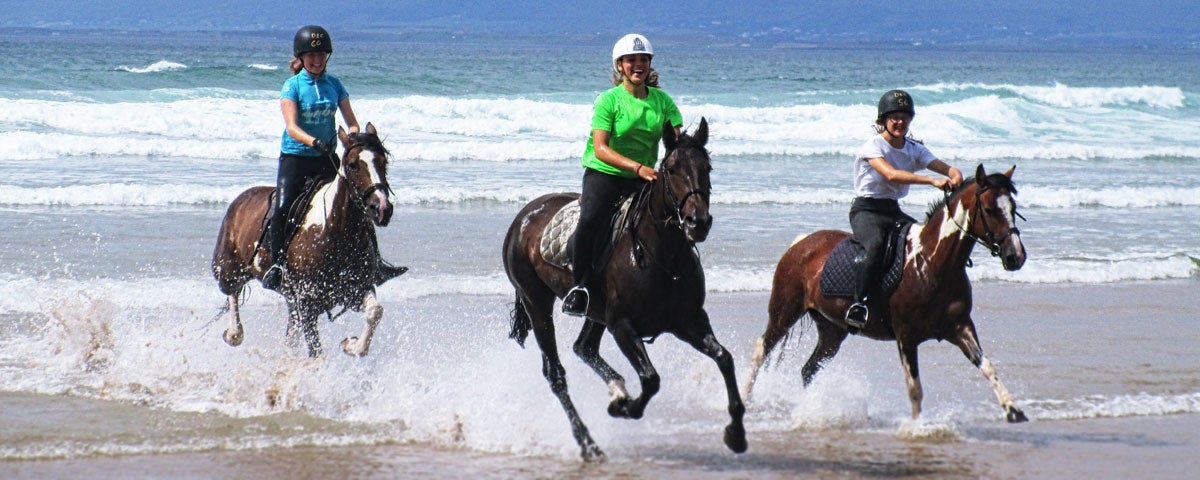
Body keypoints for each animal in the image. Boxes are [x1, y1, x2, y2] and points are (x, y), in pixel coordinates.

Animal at [208, 121, 391, 357]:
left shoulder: (354, 291)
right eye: (352, 165)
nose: (382, 208)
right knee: (231, 293)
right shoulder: (307, 304)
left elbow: (375, 311)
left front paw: (351, 344)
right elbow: (316, 352)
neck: (334, 232)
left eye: (384, 162)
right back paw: (233, 333)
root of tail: (240, 200)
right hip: (228, 268)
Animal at [501, 118, 744, 460]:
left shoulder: (689, 321)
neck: (664, 257)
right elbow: (651, 379)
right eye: (671, 168)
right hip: (536, 302)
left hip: (595, 311)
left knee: (584, 347)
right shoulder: (623, 326)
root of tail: (523, 216)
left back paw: (616, 389)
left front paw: (736, 433)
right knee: (556, 374)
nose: (698, 223)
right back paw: (589, 443)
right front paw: (625, 409)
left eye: (707, 167)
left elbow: (724, 358)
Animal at [739, 165, 1032, 424]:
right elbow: (914, 388)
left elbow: (987, 365)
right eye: (990, 210)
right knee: (762, 349)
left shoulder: (960, 327)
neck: (932, 263)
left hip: (832, 330)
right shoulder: (906, 337)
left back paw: (810, 408)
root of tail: (800, 243)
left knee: (809, 369)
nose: (1015, 257)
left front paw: (1013, 410)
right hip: (785, 312)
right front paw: (917, 429)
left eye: (1013, 209)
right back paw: (744, 401)